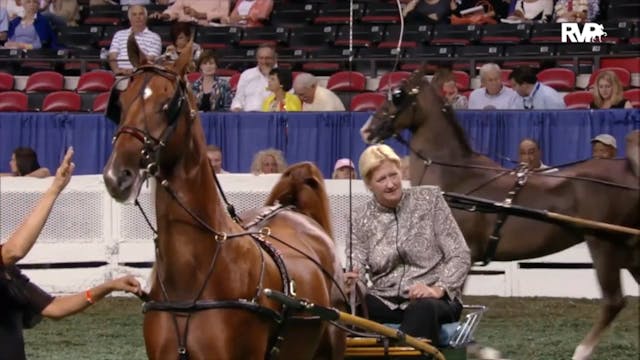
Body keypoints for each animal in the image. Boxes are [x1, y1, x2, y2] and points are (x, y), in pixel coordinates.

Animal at [360, 69, 640, 358]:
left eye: (398, 95)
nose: (366, 130)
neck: (456, 178)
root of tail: (628, 168)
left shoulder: (463, 255)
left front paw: (477, 348)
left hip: (604, 244)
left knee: (613, 301)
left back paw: (581, 351)